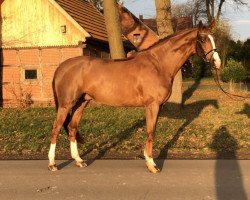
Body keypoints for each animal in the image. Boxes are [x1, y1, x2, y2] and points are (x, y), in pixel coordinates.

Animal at [48, 21, 221, 173]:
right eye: (203, 39)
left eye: (214, 38)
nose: (217, 63)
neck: (159, 64)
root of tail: (61, 67)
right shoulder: (152, 105)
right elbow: (151, 132)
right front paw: (151, 164)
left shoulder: (156, 107)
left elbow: (151, 131)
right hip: (66, 104)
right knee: (56, 128)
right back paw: (52, 164)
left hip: (81, 103)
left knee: (72, 127)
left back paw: (78, 160)